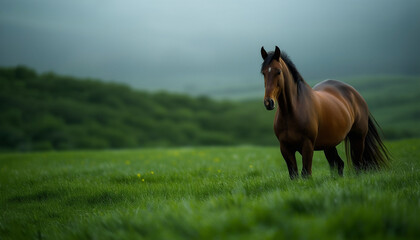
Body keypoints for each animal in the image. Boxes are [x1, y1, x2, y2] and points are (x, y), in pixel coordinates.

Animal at [260, 46, 388, 179]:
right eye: (263, 72)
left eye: (278, 72)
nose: (268, 102)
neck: (292, 111)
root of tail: (356, 94)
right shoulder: (285, 148)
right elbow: (294, 175)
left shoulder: (307, 145)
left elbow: (306, 173)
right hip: (329, 145)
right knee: (339, 164)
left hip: (357, 138)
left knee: (358, 164)